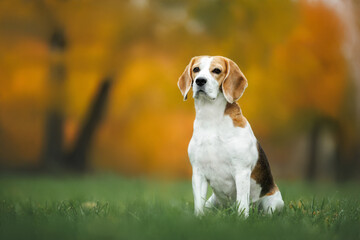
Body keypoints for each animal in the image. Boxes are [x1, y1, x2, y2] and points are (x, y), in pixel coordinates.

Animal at [177, 55, 284, 217]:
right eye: (196, 69)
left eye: (216, 70)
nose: (200, 81)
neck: (211, 119)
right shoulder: (198, 173)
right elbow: (198, 205)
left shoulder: (241, 171)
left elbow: (242, 203)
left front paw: (241, 219)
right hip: (212, 202)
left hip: (273, 203)